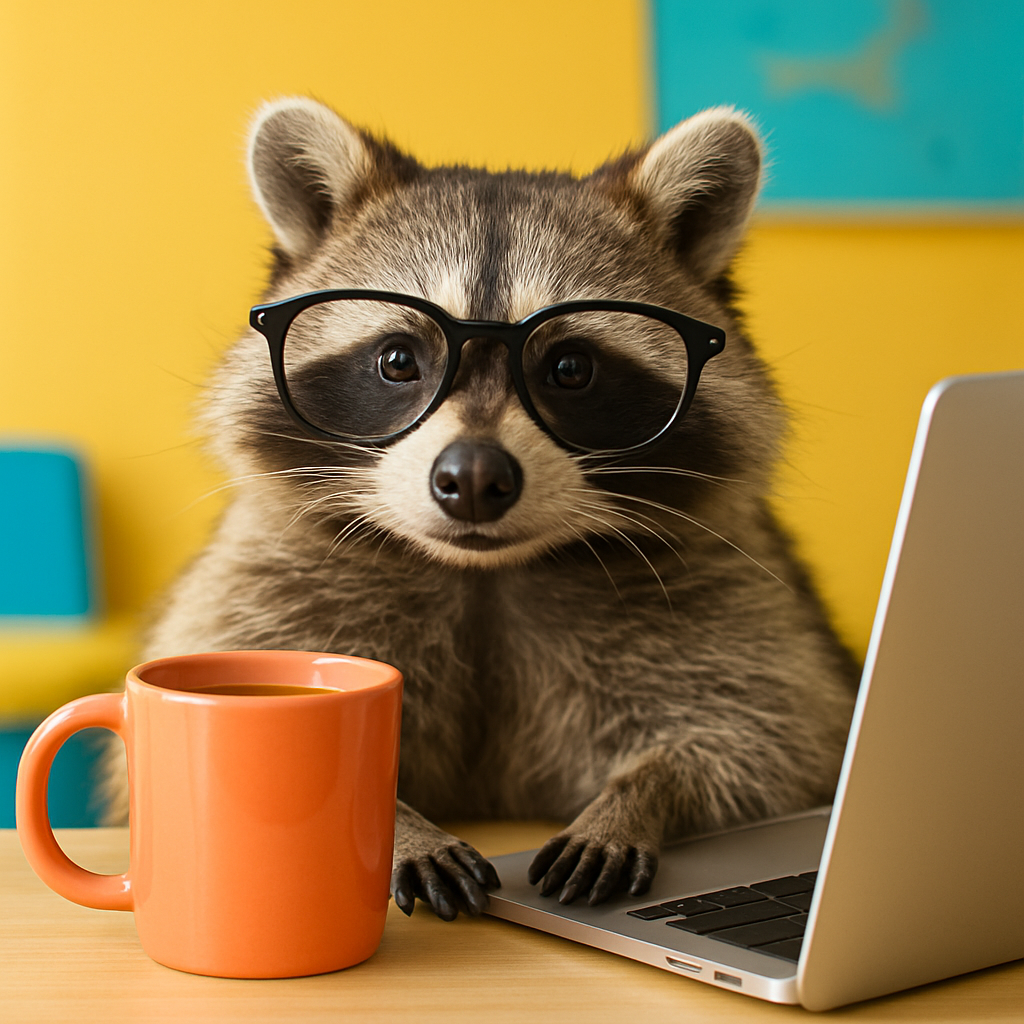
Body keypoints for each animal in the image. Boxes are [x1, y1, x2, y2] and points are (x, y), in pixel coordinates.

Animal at [104, 97, 859, 921]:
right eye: (398, 360)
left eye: (571, 368)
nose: (472, 478)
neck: (485, 573)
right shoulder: (271, 580)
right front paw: (403, 823)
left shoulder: (719, 592)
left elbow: (759, 741)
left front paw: (639, 796)